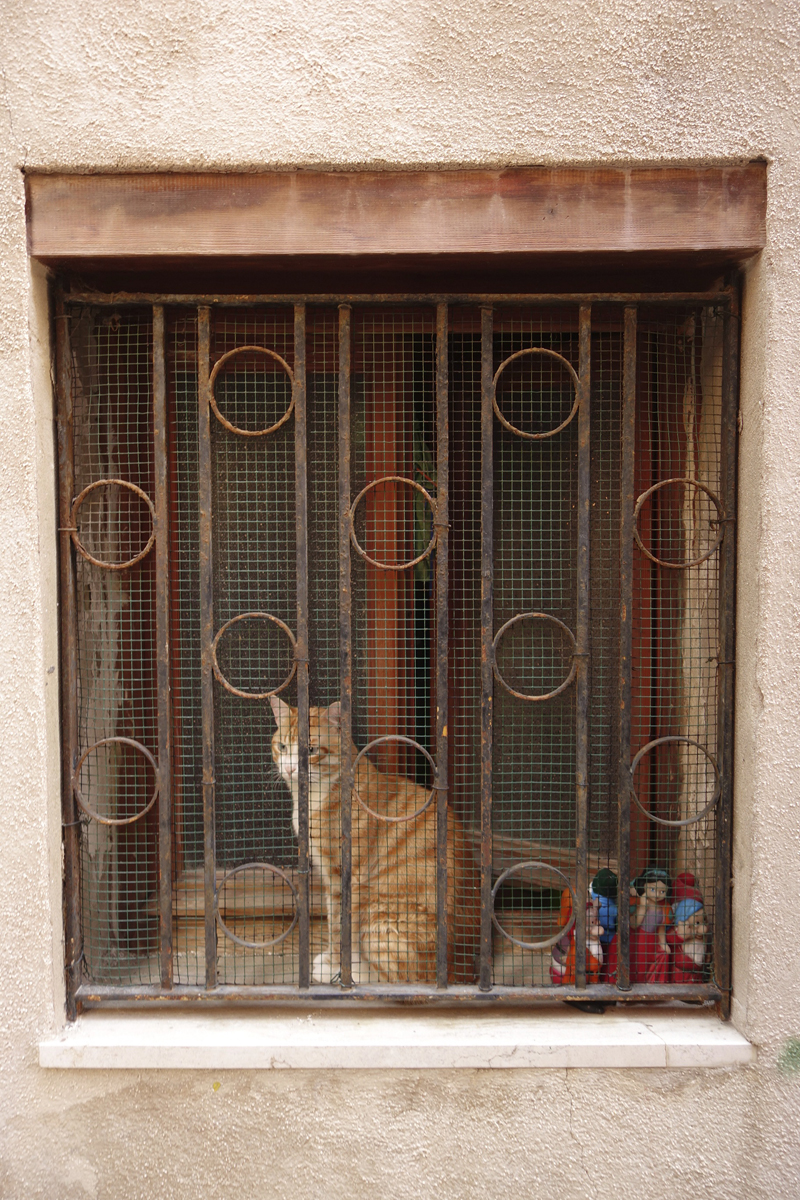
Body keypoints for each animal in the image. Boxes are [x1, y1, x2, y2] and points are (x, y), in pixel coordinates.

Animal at [268, 696, 482, 984]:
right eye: (282, 746)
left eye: (311, 750)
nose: (290, 769)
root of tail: (463, 966)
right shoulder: (330, 880)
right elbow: (333, 921)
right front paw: (331, 961)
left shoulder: (347, 878)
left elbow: (342, 929)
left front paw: (338, 968)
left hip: (378, 915)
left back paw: (361, 973)